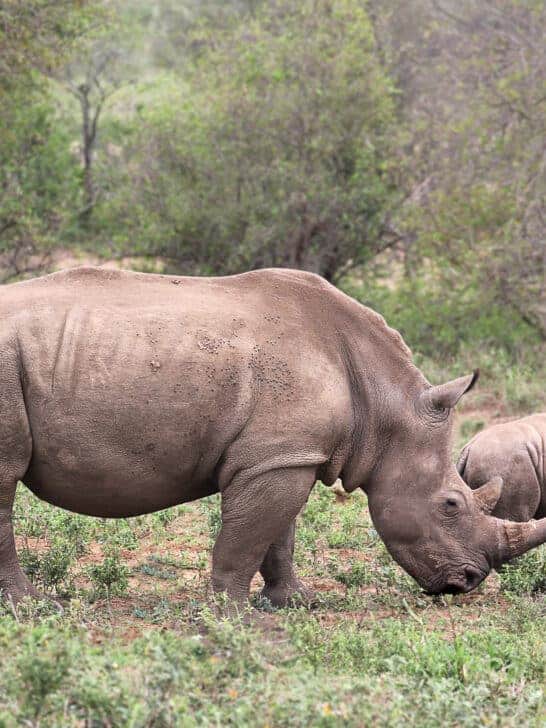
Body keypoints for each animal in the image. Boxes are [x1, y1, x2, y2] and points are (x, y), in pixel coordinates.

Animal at [0, 266, 545, 607]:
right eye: (451, 504)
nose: (469, 581)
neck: (384, 407)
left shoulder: (286, 454)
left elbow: (279, 532)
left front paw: (295, 603)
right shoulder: (279, 456)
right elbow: (248, 536)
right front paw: (228, 614)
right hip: (7, 362)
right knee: (5, 477)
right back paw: (34, 607)